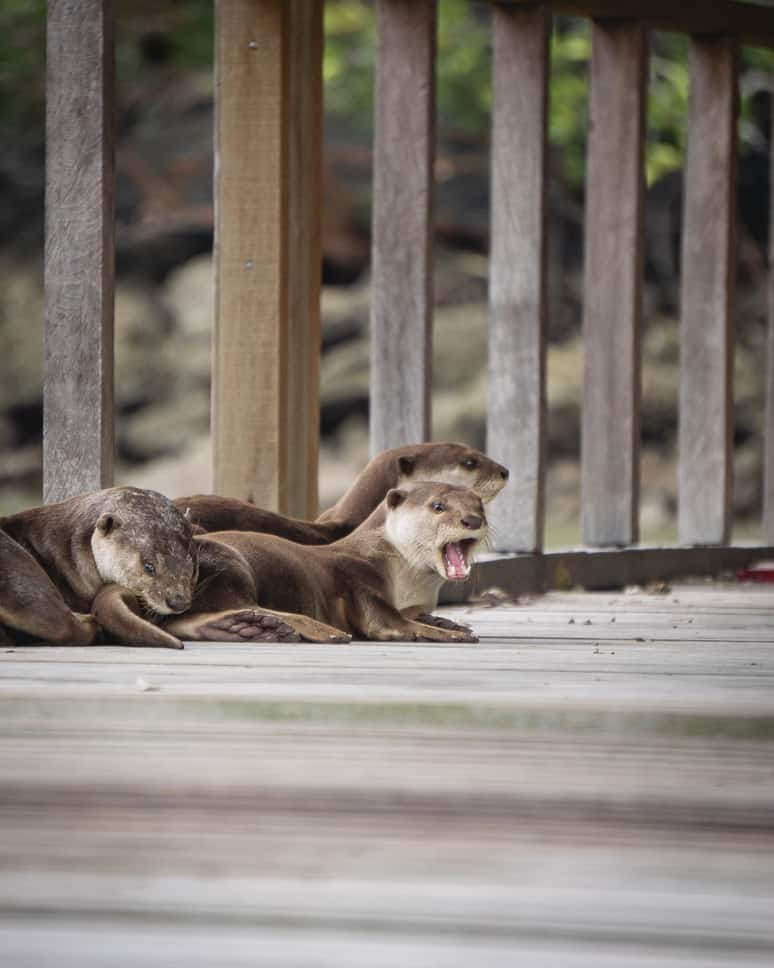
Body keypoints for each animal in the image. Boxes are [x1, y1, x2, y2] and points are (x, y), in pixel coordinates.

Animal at [98, 482, 488, 644]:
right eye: (438, 506)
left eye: (480, 505)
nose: (472, 520)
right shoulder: (360, 582)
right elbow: (388, 622)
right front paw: (446, 632)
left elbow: (412, 615)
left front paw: (442, 620)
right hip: (227, 564)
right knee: (236, 606)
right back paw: (313, 630)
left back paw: (245, 630)